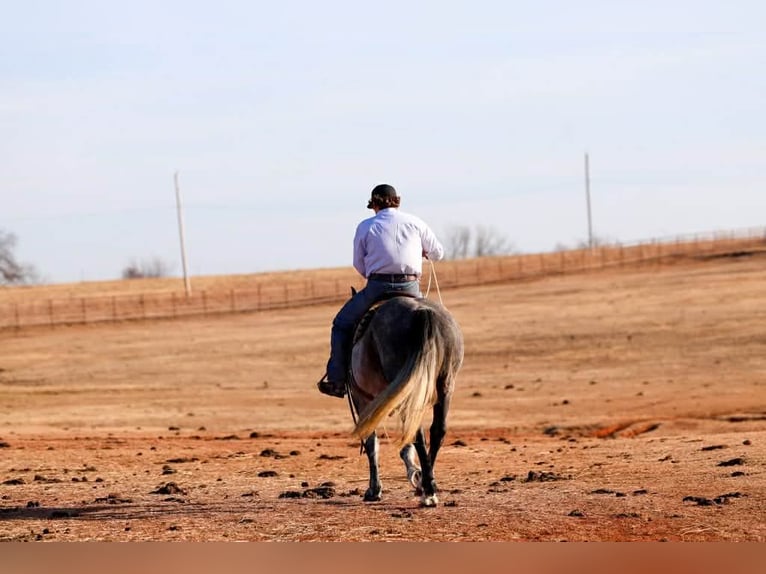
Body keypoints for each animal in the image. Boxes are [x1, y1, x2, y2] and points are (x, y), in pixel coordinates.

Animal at [347, 295, 464, 507]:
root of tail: (422, 312)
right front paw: (416, 474)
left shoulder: (362, 399)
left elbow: (371, 443)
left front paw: (374, 490)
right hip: (445, 385)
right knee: (437, 430)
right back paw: (427, 486)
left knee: (417, 432)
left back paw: (427, 490)